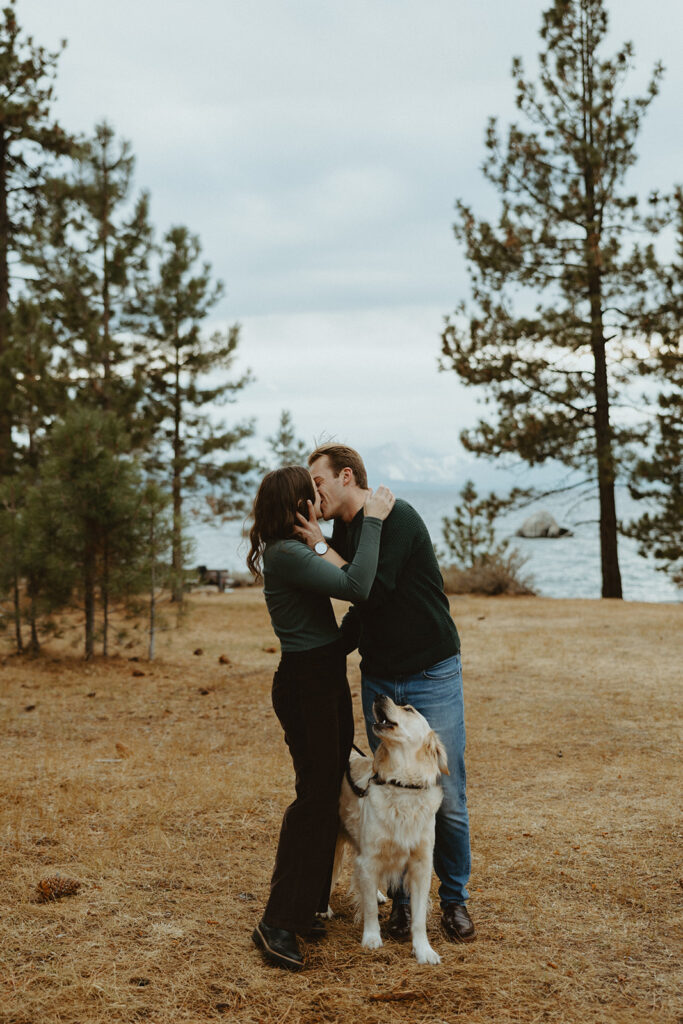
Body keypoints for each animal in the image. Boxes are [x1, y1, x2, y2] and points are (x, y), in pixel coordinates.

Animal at [329, 692, 448, 962]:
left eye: (409, 709)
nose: (379, 695)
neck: (402, 785)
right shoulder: (370, 857)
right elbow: (370, 910)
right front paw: (372, 938)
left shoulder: (421, 864)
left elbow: (418, 918)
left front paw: (424, 950)